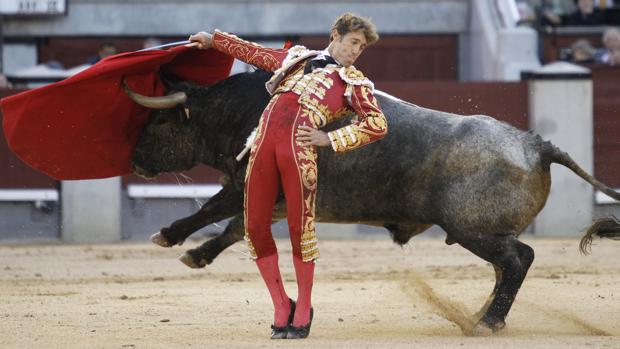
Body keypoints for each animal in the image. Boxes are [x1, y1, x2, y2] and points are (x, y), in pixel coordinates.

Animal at [124, 70, 620, 334]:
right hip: (485, 232)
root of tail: (536, 144)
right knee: (507, 266)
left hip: (471, 229)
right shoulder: (273, 198)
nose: (134, 161)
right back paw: (483, 314)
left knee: (519, 260)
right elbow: (236, 227)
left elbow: (212, 209)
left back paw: (486, 322)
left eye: (161, 121)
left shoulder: (246, 182)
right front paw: (196, 255)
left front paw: (167, 236)